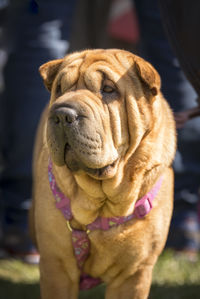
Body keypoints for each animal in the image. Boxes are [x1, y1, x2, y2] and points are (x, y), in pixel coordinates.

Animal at [30, 49, 176, 299]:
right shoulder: (56, 267)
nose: (62, 114)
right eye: (60, 88)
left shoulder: (133, 275)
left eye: (108, 89)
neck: (102, 203)